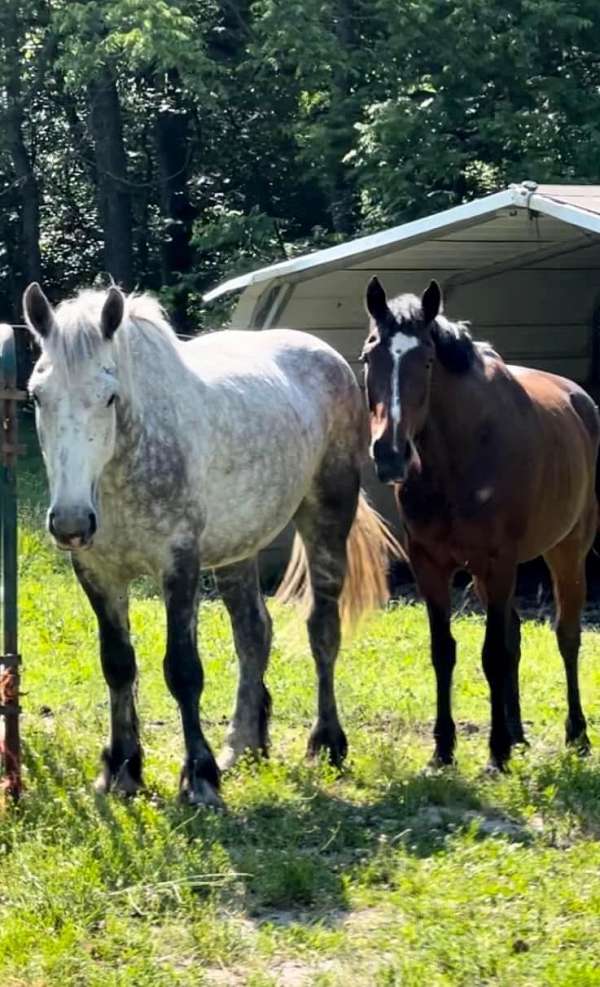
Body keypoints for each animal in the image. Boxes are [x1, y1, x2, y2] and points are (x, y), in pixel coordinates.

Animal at [24, 282, 398, 808]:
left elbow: (183, 670)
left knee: (322, 630)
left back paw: (326, 744)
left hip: (326, 516)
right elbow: (118, 666)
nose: (71, 521)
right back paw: (243, 745)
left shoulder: (178, 565)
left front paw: (198, 778)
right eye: (38, 395)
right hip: (239, 549)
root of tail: (330, 358)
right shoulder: (98, 573)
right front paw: (121, 770)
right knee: (254, 634)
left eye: (109, 397)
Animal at [358, 276, 596, 772]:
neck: (458, 456)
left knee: (566, 636)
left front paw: (496, 752)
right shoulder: (430, 564)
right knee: (516, 636)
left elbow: (492, 654)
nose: (389, 454)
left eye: (427, 361)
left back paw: (577, 735)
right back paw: (519, 733)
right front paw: (443, 749)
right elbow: (445, 650)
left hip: (566, 552)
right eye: (369, 357)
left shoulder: (497, 561)